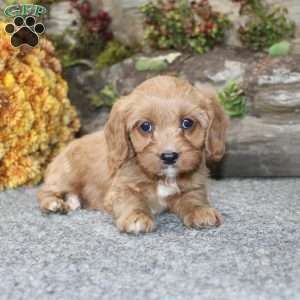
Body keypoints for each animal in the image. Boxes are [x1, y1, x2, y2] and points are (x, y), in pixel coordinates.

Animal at [37, 75, 227, 234]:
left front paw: (201, 211)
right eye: (145, 126)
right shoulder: (120, 189)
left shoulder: (194, 185)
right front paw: (137, 217)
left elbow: (193, 198)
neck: (162, 178)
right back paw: (55, 204)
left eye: (188, 123)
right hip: (65, 175)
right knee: (45, 190)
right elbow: (132, 200)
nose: (169, 156)